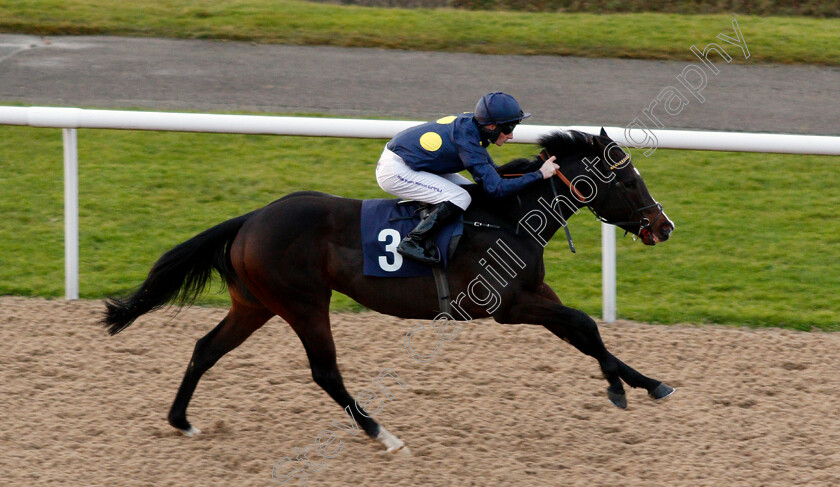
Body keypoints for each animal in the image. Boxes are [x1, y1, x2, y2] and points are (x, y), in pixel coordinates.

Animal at [101, 130, 676, 454]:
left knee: (205, 349)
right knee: (325, 372)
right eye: (627, 181)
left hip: (256, 304)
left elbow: (586, 332)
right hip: (303, 303)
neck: (508, 217)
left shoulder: (537, 296)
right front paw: (621, 388)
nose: (663, 226)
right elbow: (584, 323)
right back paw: (383, 434)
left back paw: (182, 421)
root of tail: (251, 219)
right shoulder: (508, 306)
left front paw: (647, 383)